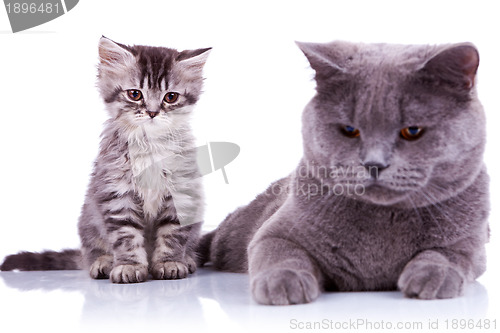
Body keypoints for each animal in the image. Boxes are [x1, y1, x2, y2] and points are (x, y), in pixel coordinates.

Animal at [0, 37, 210, 282]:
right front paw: (128, 266)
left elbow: (172, 234)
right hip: (89, 221)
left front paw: (170, 263)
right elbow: (126, 236)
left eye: (171, 97)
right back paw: (103, 263)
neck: (149, 145)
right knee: (94, 251)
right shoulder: (117, 193)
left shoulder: (181, 193)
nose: (152, 112)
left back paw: (188, 260)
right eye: (135, 94)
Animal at [199, 40, 488, 304]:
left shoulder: (473, 245)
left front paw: (433, 275)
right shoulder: (274, 231)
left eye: (412, 131)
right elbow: (280, 251)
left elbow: (448, 254)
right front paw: (283, 282)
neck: (383, 222)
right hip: (234, 232)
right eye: (350, 130)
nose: (374, 163)